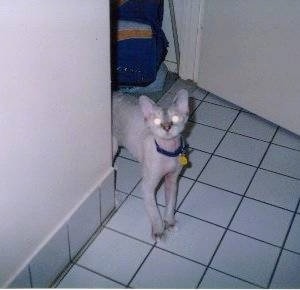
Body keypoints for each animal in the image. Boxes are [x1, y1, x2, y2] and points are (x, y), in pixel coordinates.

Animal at [112, 89, 190, 240]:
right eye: (157, 121)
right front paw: (159, 232)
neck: (168, 153)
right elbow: (154, 212)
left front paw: (170, 223)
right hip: (112, 145)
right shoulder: (147, 187)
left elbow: (171, 204)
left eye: (175, 119)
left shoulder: (172, 180)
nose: (167, 127)